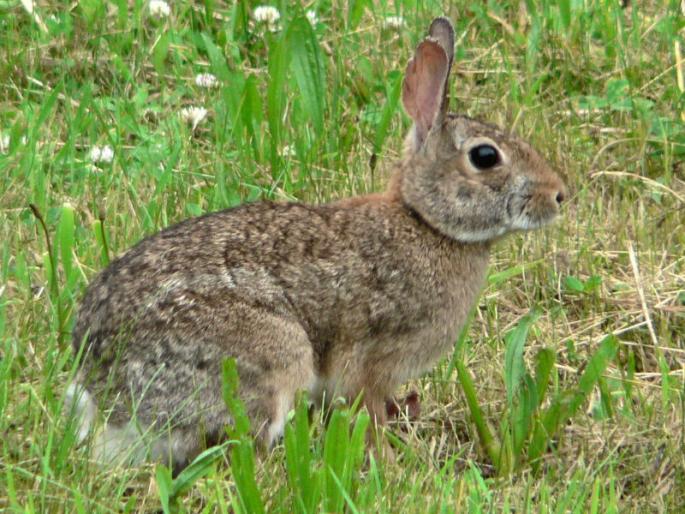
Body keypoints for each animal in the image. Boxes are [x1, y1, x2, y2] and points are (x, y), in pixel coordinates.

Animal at [66, 17, 566, 470]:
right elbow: (369, 412)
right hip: (275, 353)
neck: (426, 223)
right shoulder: (371, 361)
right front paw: (386, 464)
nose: (560, 194)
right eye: (485, 156)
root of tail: (110, 397)